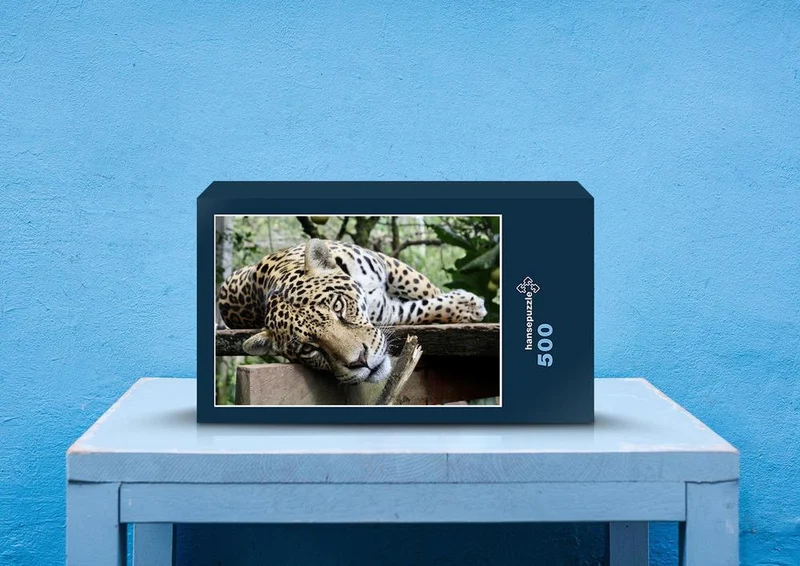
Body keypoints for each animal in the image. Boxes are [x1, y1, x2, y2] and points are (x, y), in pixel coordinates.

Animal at [217, 238, 487, 384]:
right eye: (308, 349)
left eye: (338, 306)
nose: (361, 362)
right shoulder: (389, 311)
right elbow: (421, 308)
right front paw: (466, 306)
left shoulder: (387, 263)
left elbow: (422, 286)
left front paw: (468, 304)